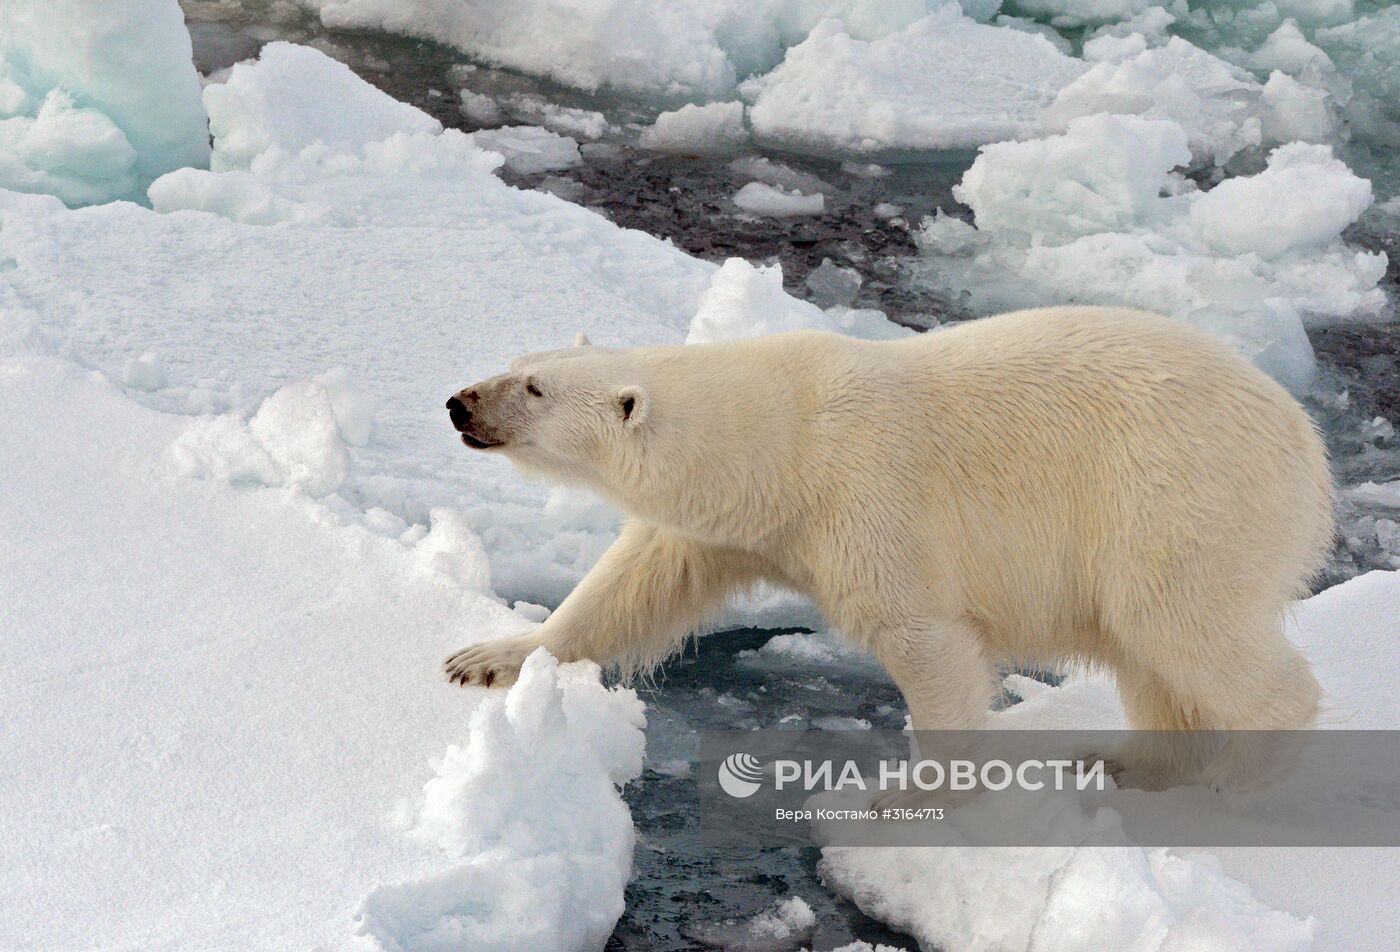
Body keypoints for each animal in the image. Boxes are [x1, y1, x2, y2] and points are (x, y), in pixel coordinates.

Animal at [442, 308, 1327, 789]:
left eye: (535, 390)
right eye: (521, 364)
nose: (459, 402)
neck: (784, 441)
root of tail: (1307, 447)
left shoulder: (866, 499)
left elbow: (922, 637)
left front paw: (919, 794)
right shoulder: (732, 524)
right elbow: (634, 585)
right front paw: (490, 657)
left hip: (1178, 501)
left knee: (1183, 625)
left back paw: (1240, 773)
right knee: (1152, 661)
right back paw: (1127, 763)